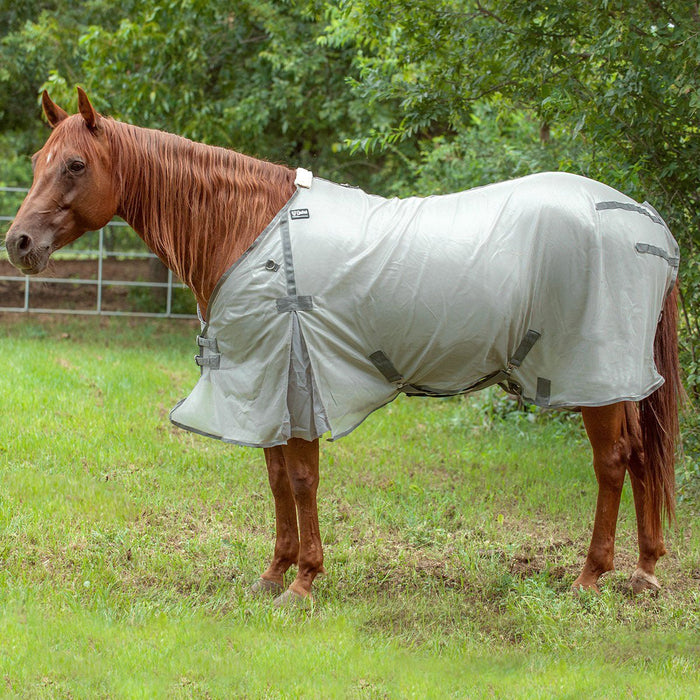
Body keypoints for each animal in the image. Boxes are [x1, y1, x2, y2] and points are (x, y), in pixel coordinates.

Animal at [5, 88, 682, 606]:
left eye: (75, 165)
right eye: (39, 158)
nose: (19, 243)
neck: (249, 231)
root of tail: (646, 220)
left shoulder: (294, 377)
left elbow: (302, 478)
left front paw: (303, 582)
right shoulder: (262, 388)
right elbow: (276, 477)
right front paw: (273, 572)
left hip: (591, 372)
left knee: (612, 461)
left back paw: (591, 577)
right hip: (616, 378)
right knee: (641, 453)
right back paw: (645, 571)